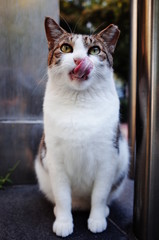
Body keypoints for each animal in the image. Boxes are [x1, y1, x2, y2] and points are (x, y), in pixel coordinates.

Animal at [34, 17, 129, 238]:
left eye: (94, 50)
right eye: (66, 48)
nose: (79, 60)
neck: (79, 102)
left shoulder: (108, 158)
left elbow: (100, 195)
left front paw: (97, 220)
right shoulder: (56, 160)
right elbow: (62, 197)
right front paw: (63, 222)